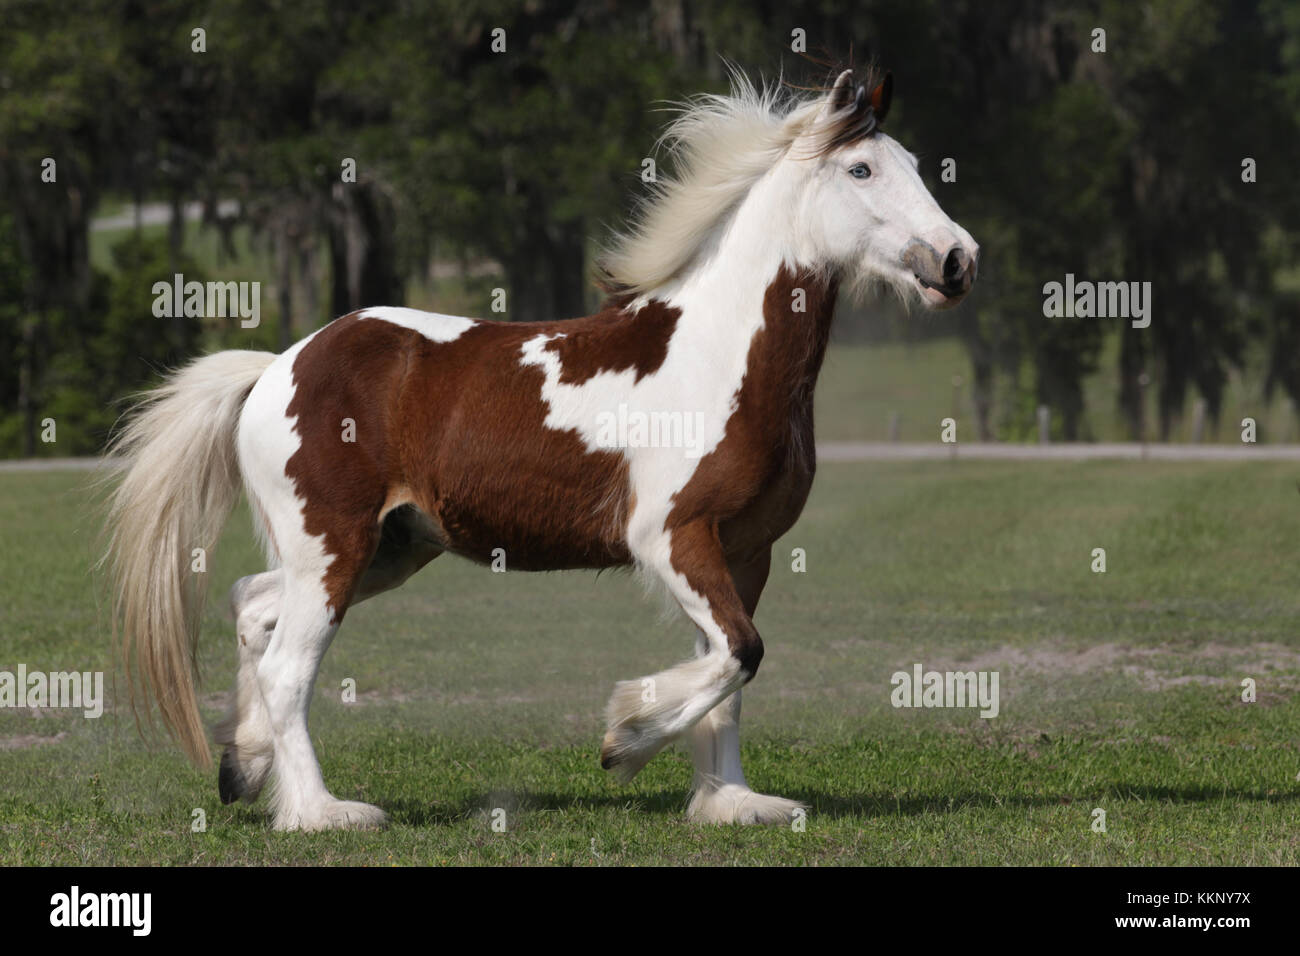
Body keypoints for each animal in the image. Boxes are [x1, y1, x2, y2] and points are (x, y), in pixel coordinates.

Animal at [103, 67, 978, 831]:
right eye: (861, 168)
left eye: (911, 165)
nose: (957, 260)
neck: (719, 355)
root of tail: (277, 367)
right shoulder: (672, 539)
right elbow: (740, 654)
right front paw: (625, 739)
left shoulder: (744, 552)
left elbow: (730, 678)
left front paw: (731, 803)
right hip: (334, 548)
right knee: (288, 667)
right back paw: (325, 814)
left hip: (385, 548)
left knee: (254, 609)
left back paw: (245, 768)